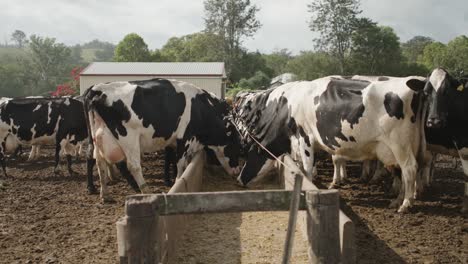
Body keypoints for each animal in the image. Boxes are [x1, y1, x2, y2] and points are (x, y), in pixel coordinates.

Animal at [82, 78, 241, 202]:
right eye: (237, 146)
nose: (237, 170)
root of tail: (97, 89)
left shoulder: (173, 141)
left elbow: (172, 160)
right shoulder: (184, 137)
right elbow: (180, 163)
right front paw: (177, 181)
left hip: (98, 138)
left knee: (99, 162)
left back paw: (105, 194)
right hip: (128, 138)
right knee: (133, 166)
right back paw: (145, 191)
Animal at [236, 76, 430, 212]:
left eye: (250, 152)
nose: (239, 180)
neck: (287, 107)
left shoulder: (305, 138)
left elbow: (307, 167)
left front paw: (309, 186)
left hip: (400, 144)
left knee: (409, 168)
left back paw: (405, 204)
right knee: (404, 170)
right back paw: (398, 199)